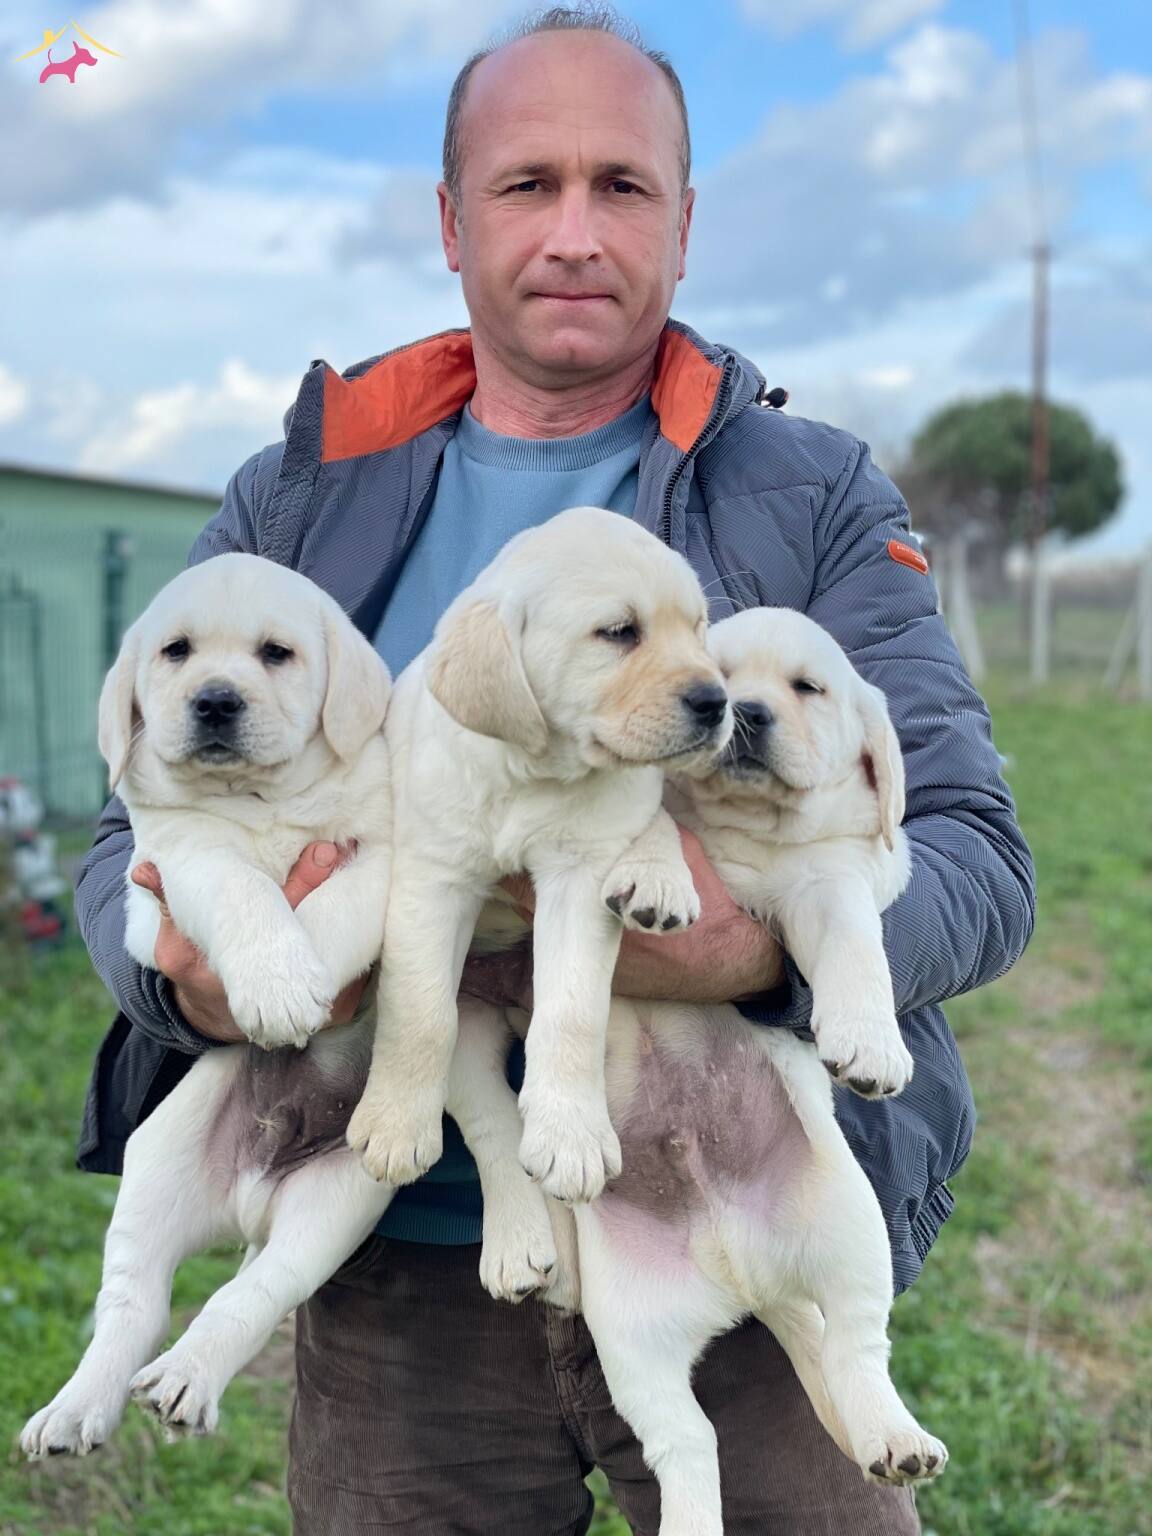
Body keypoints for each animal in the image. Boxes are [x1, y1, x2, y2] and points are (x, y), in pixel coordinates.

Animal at [347, 506, 733, 1205]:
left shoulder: (580, 880)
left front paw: (571, 1138)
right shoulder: (434, 876)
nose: (718, 702)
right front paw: (394, 1126)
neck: (534, 773)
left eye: (697, 628)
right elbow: (420, 1011)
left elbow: (573, 1011)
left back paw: (657, 882)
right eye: (619, 632)